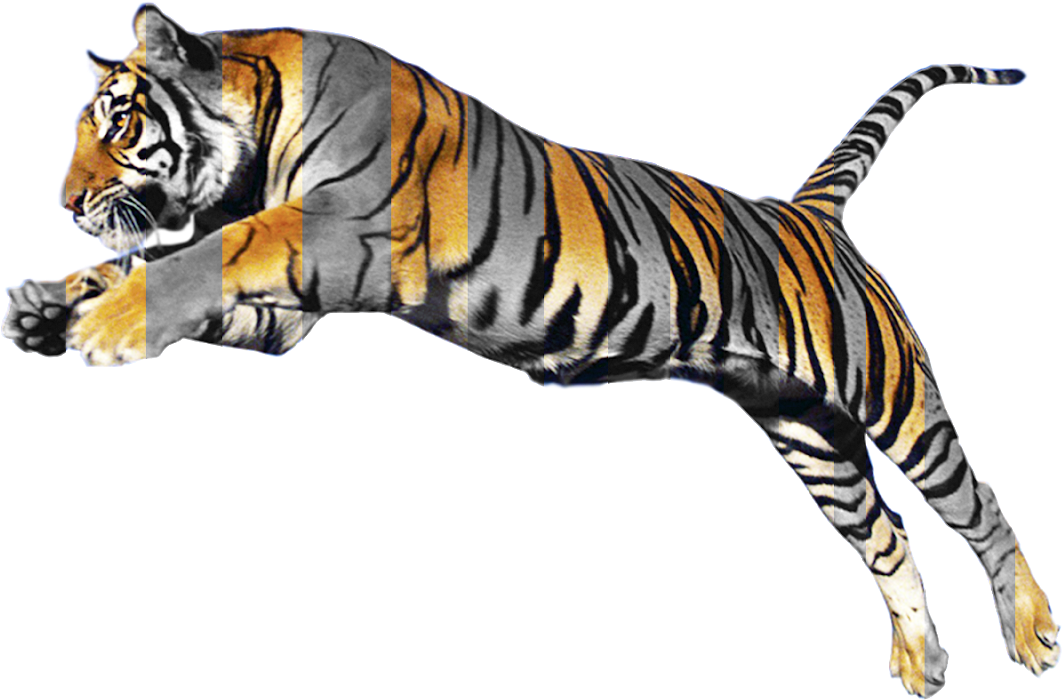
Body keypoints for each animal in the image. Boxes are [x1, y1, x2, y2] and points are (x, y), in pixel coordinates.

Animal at [1, 4, 1057, 695]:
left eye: (121, 122)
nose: (66, 202)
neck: (258, 134)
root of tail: (810, 210)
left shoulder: (334, 234)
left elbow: (202, 255)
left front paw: (103, 323)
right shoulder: (288, 312)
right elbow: (165, 266)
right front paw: (49, 303)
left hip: (891, 396)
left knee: (977, 501)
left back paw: (1034, 634)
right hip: (808, 433)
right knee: (887, 534)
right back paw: (921, 663)